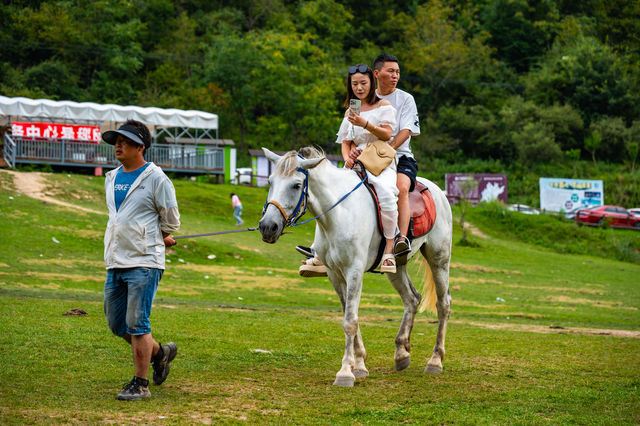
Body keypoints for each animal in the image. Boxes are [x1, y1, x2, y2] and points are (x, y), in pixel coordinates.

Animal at [258, 146, 452, 386]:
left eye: (295, 185)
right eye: (270, 182)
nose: (268, 227)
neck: (339, 214)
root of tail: (438, 191)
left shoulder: (354, 271)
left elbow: (350, 320)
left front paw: (345, 373)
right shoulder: (335, 274)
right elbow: (349, 315)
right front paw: (359, 365)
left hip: (439, 259)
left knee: (443, 305)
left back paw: (435, 360)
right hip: (396, 267)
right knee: (412, 299)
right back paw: (401, 353)